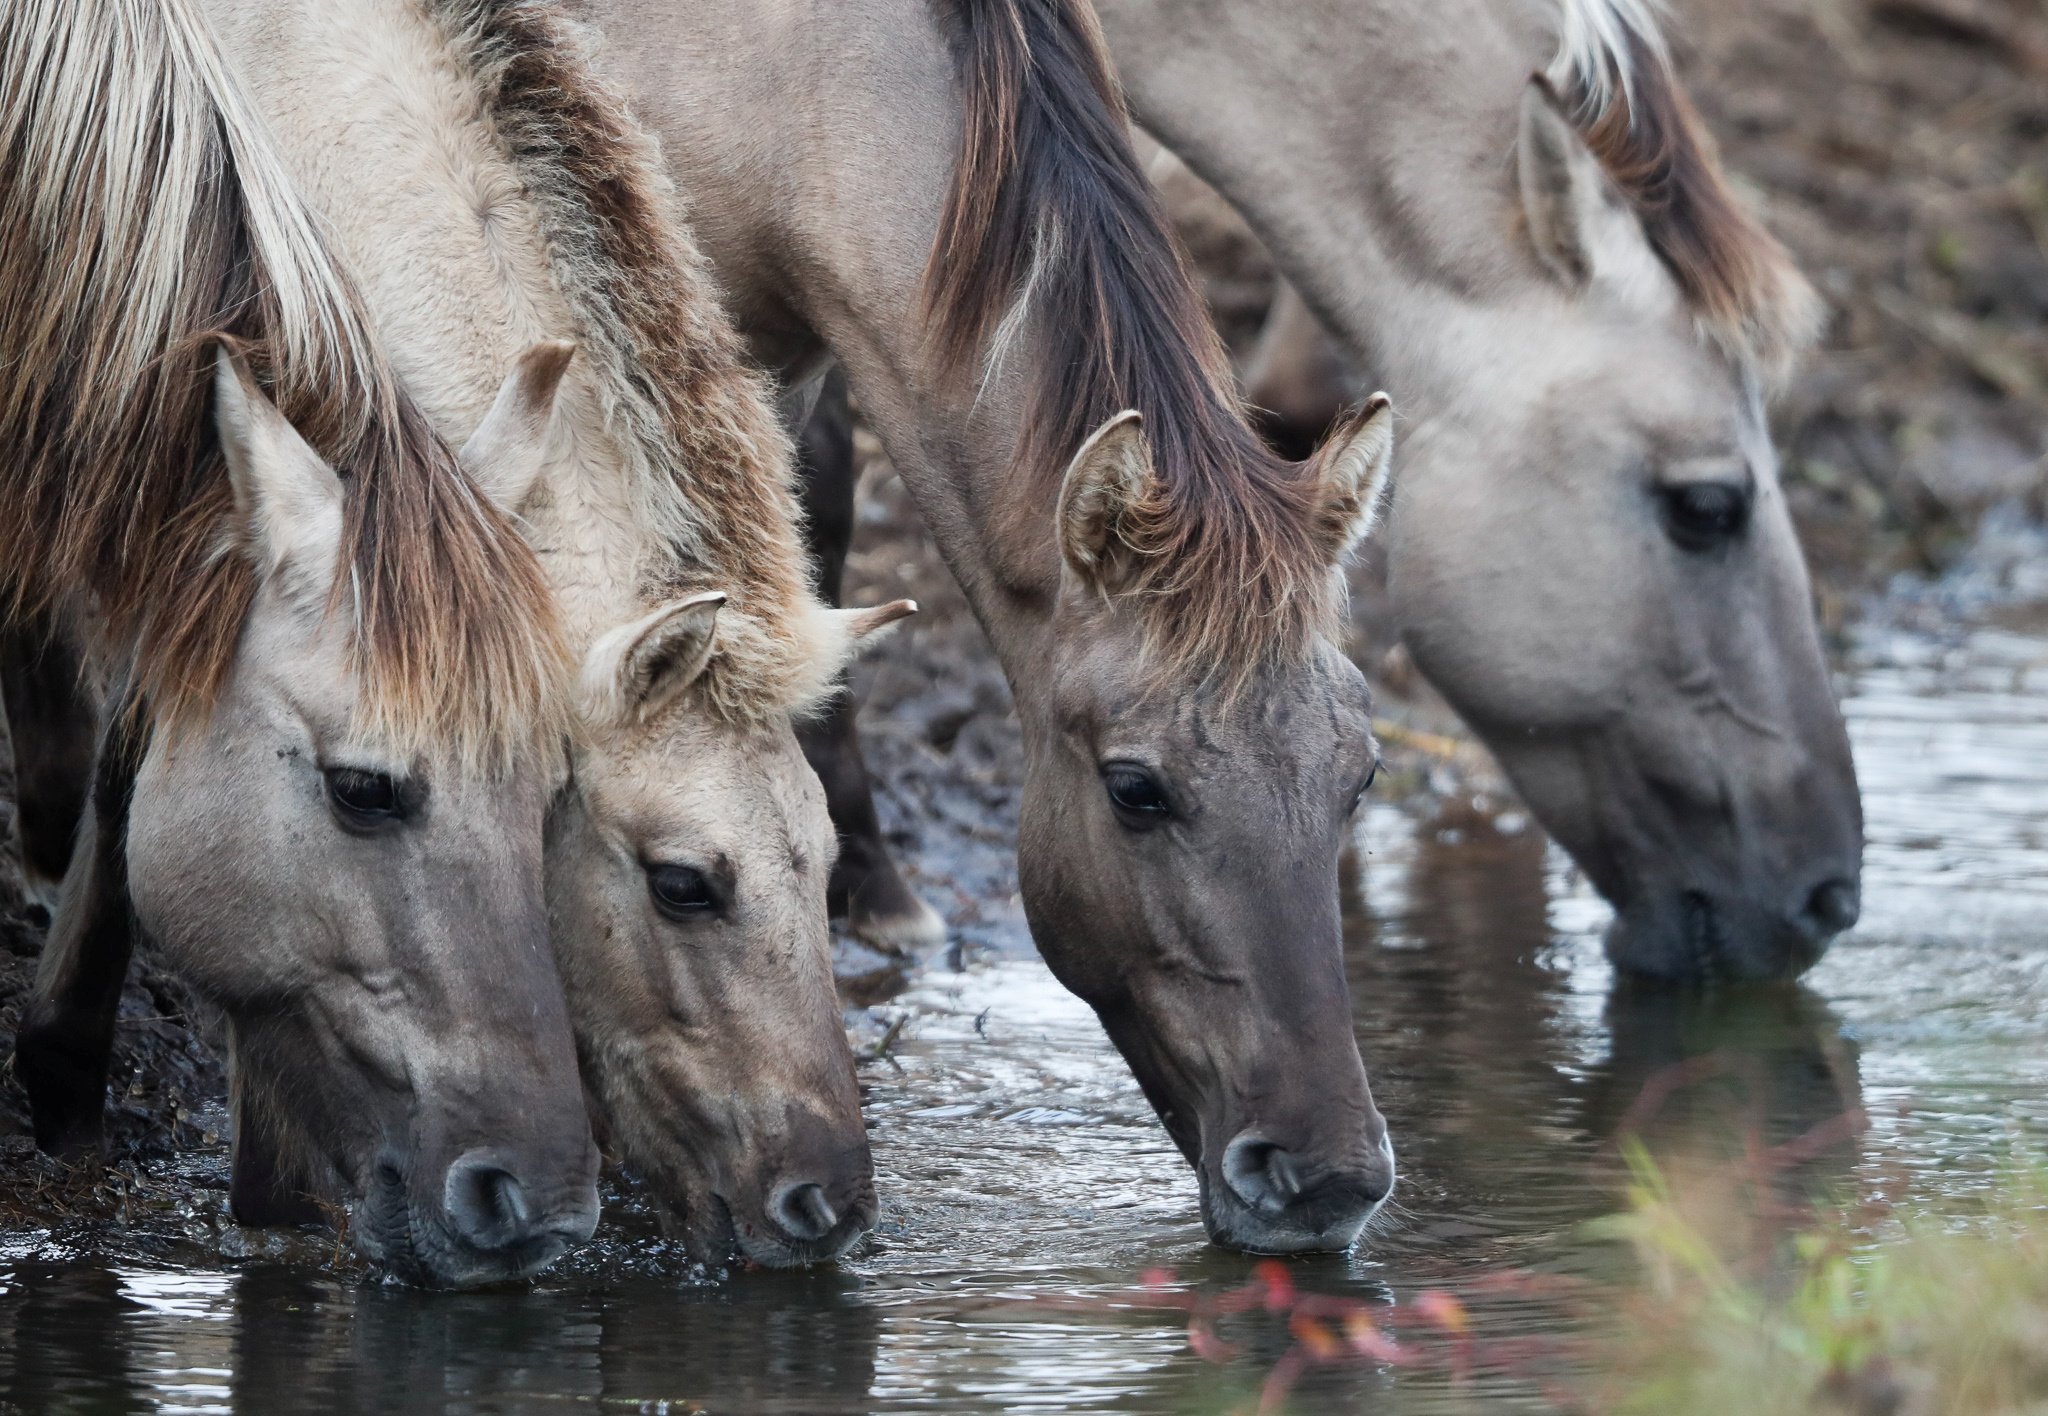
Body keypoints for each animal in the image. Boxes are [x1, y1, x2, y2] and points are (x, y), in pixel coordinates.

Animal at [570, 0, 1398, 1253]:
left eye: (1360, 775)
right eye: (1134, 789)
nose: (1325, 1179)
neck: (791, 73)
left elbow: (803, 548)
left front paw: (869, 880)